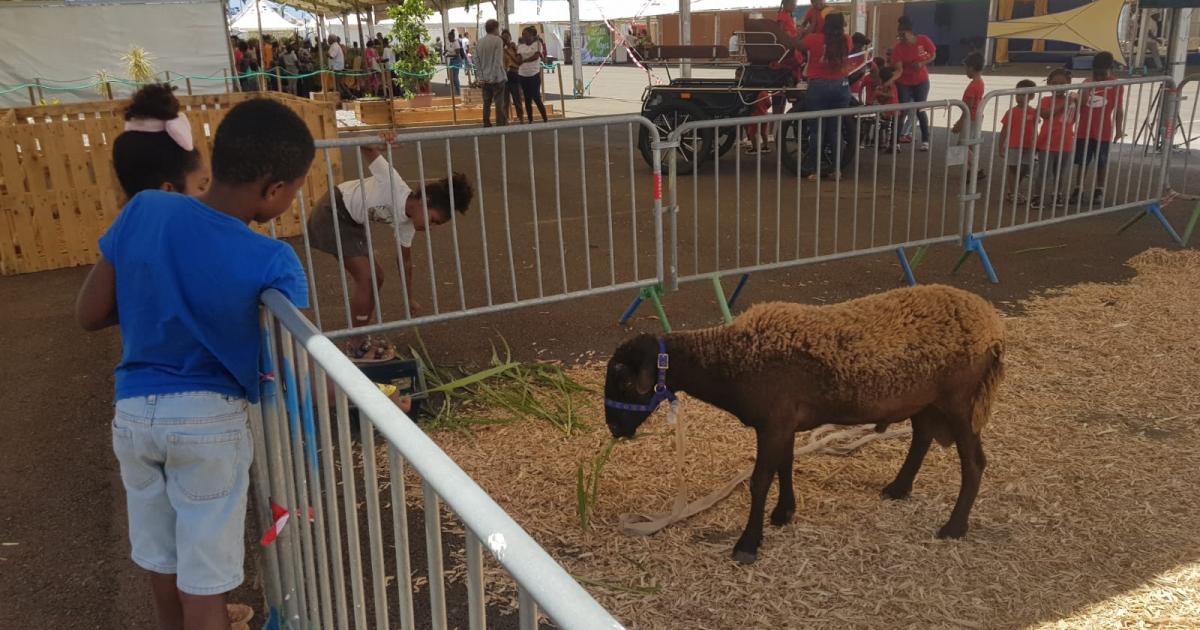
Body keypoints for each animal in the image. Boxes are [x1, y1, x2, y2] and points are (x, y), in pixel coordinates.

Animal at [600, 282, 1003, 561]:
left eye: (624, 381)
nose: (615, 429)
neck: (728, 361)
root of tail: (992, 326)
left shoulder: (775, 421)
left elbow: (761, 480)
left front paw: (748, 544)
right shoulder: (784, 422)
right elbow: (786, 465)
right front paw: (784, 513)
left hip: (960, 402)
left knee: (974, 462)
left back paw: (954, 526)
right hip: (925, 399)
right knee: (921, 437)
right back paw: (898, 488)